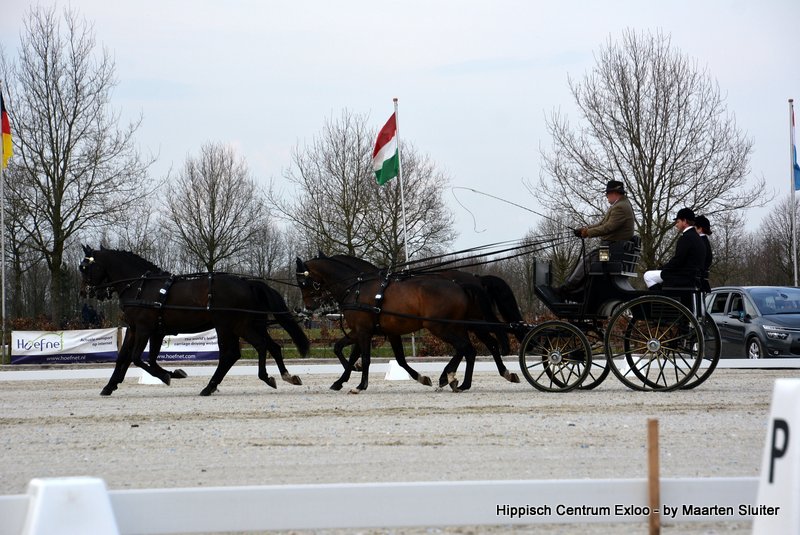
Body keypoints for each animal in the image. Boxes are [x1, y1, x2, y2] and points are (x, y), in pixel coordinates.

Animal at [79, 245, 309, 396]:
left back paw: (215, 385)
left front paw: (167, 376)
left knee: (236, 352)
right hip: (248, 325)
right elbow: (127, 358)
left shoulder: (145, 329)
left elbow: (137, 358)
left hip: (229, 326)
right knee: (270, 346)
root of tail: (248, 283)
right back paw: (284, 376)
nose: (85, 292)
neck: (140, 286)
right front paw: (110, 386)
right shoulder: (141, 330)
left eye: (85, 268)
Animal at [296, 254, 504, 393]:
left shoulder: (363, 331)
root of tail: (460, 285)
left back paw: (455, 380)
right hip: (456, 327)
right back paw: (456, 379)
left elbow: (365, 358)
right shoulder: (370, 331)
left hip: (441, 327)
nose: (308, 307)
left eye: (303, 282)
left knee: (466, 348)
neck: (357, 288)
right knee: (470, 349)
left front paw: (360, 384)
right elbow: (342, 349)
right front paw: (342, 379)